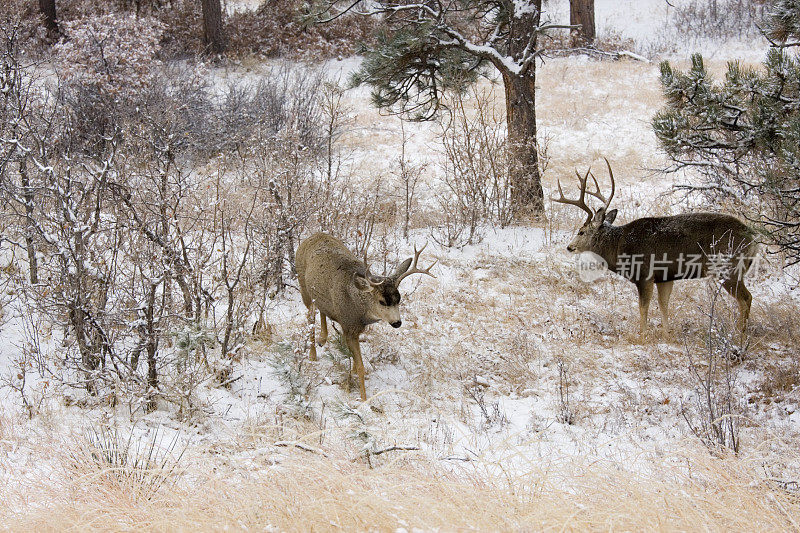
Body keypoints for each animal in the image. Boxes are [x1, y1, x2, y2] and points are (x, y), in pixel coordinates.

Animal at [296, 233, 438, 400]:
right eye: (382, 301)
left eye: (399, 299)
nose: (397, 322)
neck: (359, 309)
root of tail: (312, 236)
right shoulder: (349, 327)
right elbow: (360, 367)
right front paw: (363, 398)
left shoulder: (355, 329)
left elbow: (355, 361)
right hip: (303, 286)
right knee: (310, 316)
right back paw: (312, 354)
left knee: (321, 309)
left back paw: (322, 339)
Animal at [552, 158, 760, 334]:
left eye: (581, 231)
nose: (569, 247)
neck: (618, 246)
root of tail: (752, 238)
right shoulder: (665, 277)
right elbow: (663, 305)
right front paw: (667, 334)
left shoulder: (645, 274)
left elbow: (643, 307)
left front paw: (642, 335)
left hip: (728, 267)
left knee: (746, 298)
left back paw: (739, 334)